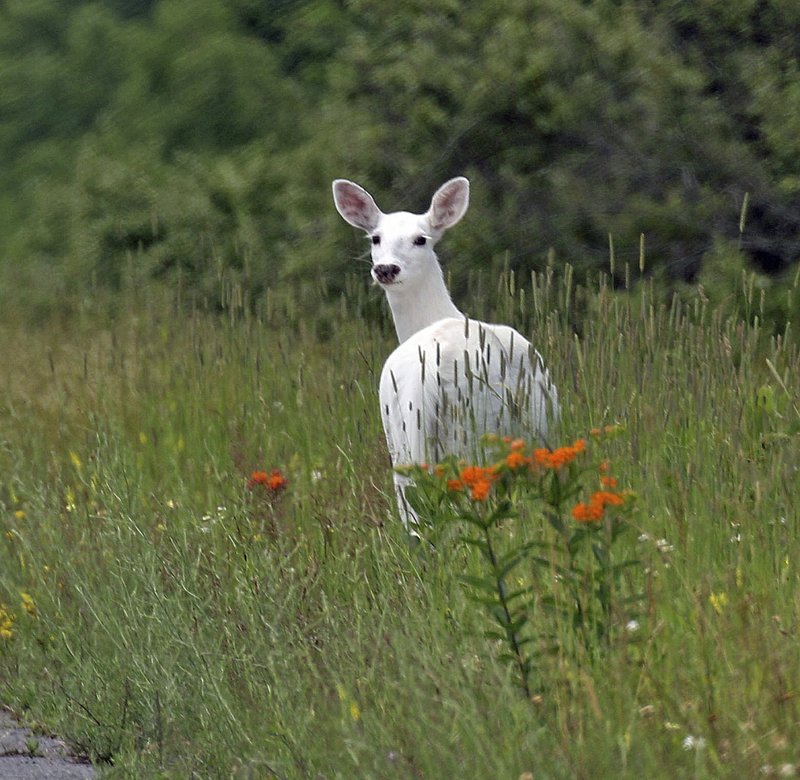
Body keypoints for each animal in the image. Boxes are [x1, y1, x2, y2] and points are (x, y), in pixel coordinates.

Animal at [332, 176, 559, 532]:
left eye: (420, 239)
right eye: (375, 237)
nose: (386, 269)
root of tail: (428, 378)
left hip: (401, 445)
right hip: (474, 434)